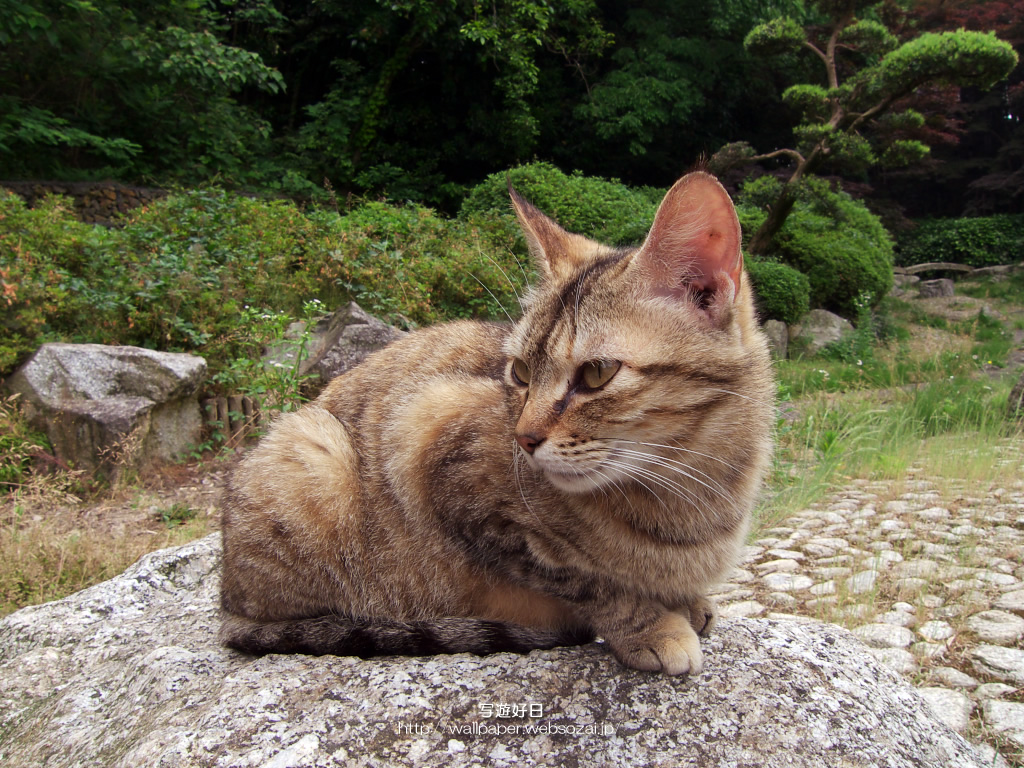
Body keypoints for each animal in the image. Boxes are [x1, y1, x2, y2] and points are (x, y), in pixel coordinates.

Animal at [220, 171, 770, 675]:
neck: (692, 493)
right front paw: (651, 626)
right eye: (521, 372)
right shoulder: (433, 440)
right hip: (316, 456)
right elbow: (588, 581)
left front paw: (687, 603)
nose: (523, 439)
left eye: (597, 373)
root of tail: (226, 603)